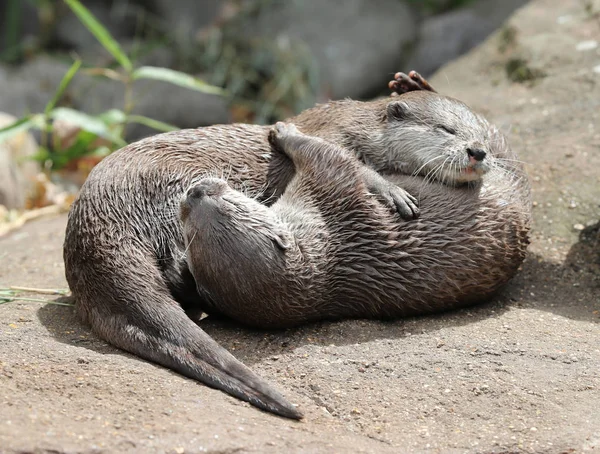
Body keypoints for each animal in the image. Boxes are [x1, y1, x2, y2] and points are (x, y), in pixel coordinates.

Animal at [62, 73, 528, 418]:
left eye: (474, 130)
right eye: (447, 130)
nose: (478, 151)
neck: (364, 133)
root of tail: (94, 215)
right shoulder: (333, 134)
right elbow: (346, 164)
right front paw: (389, 189)